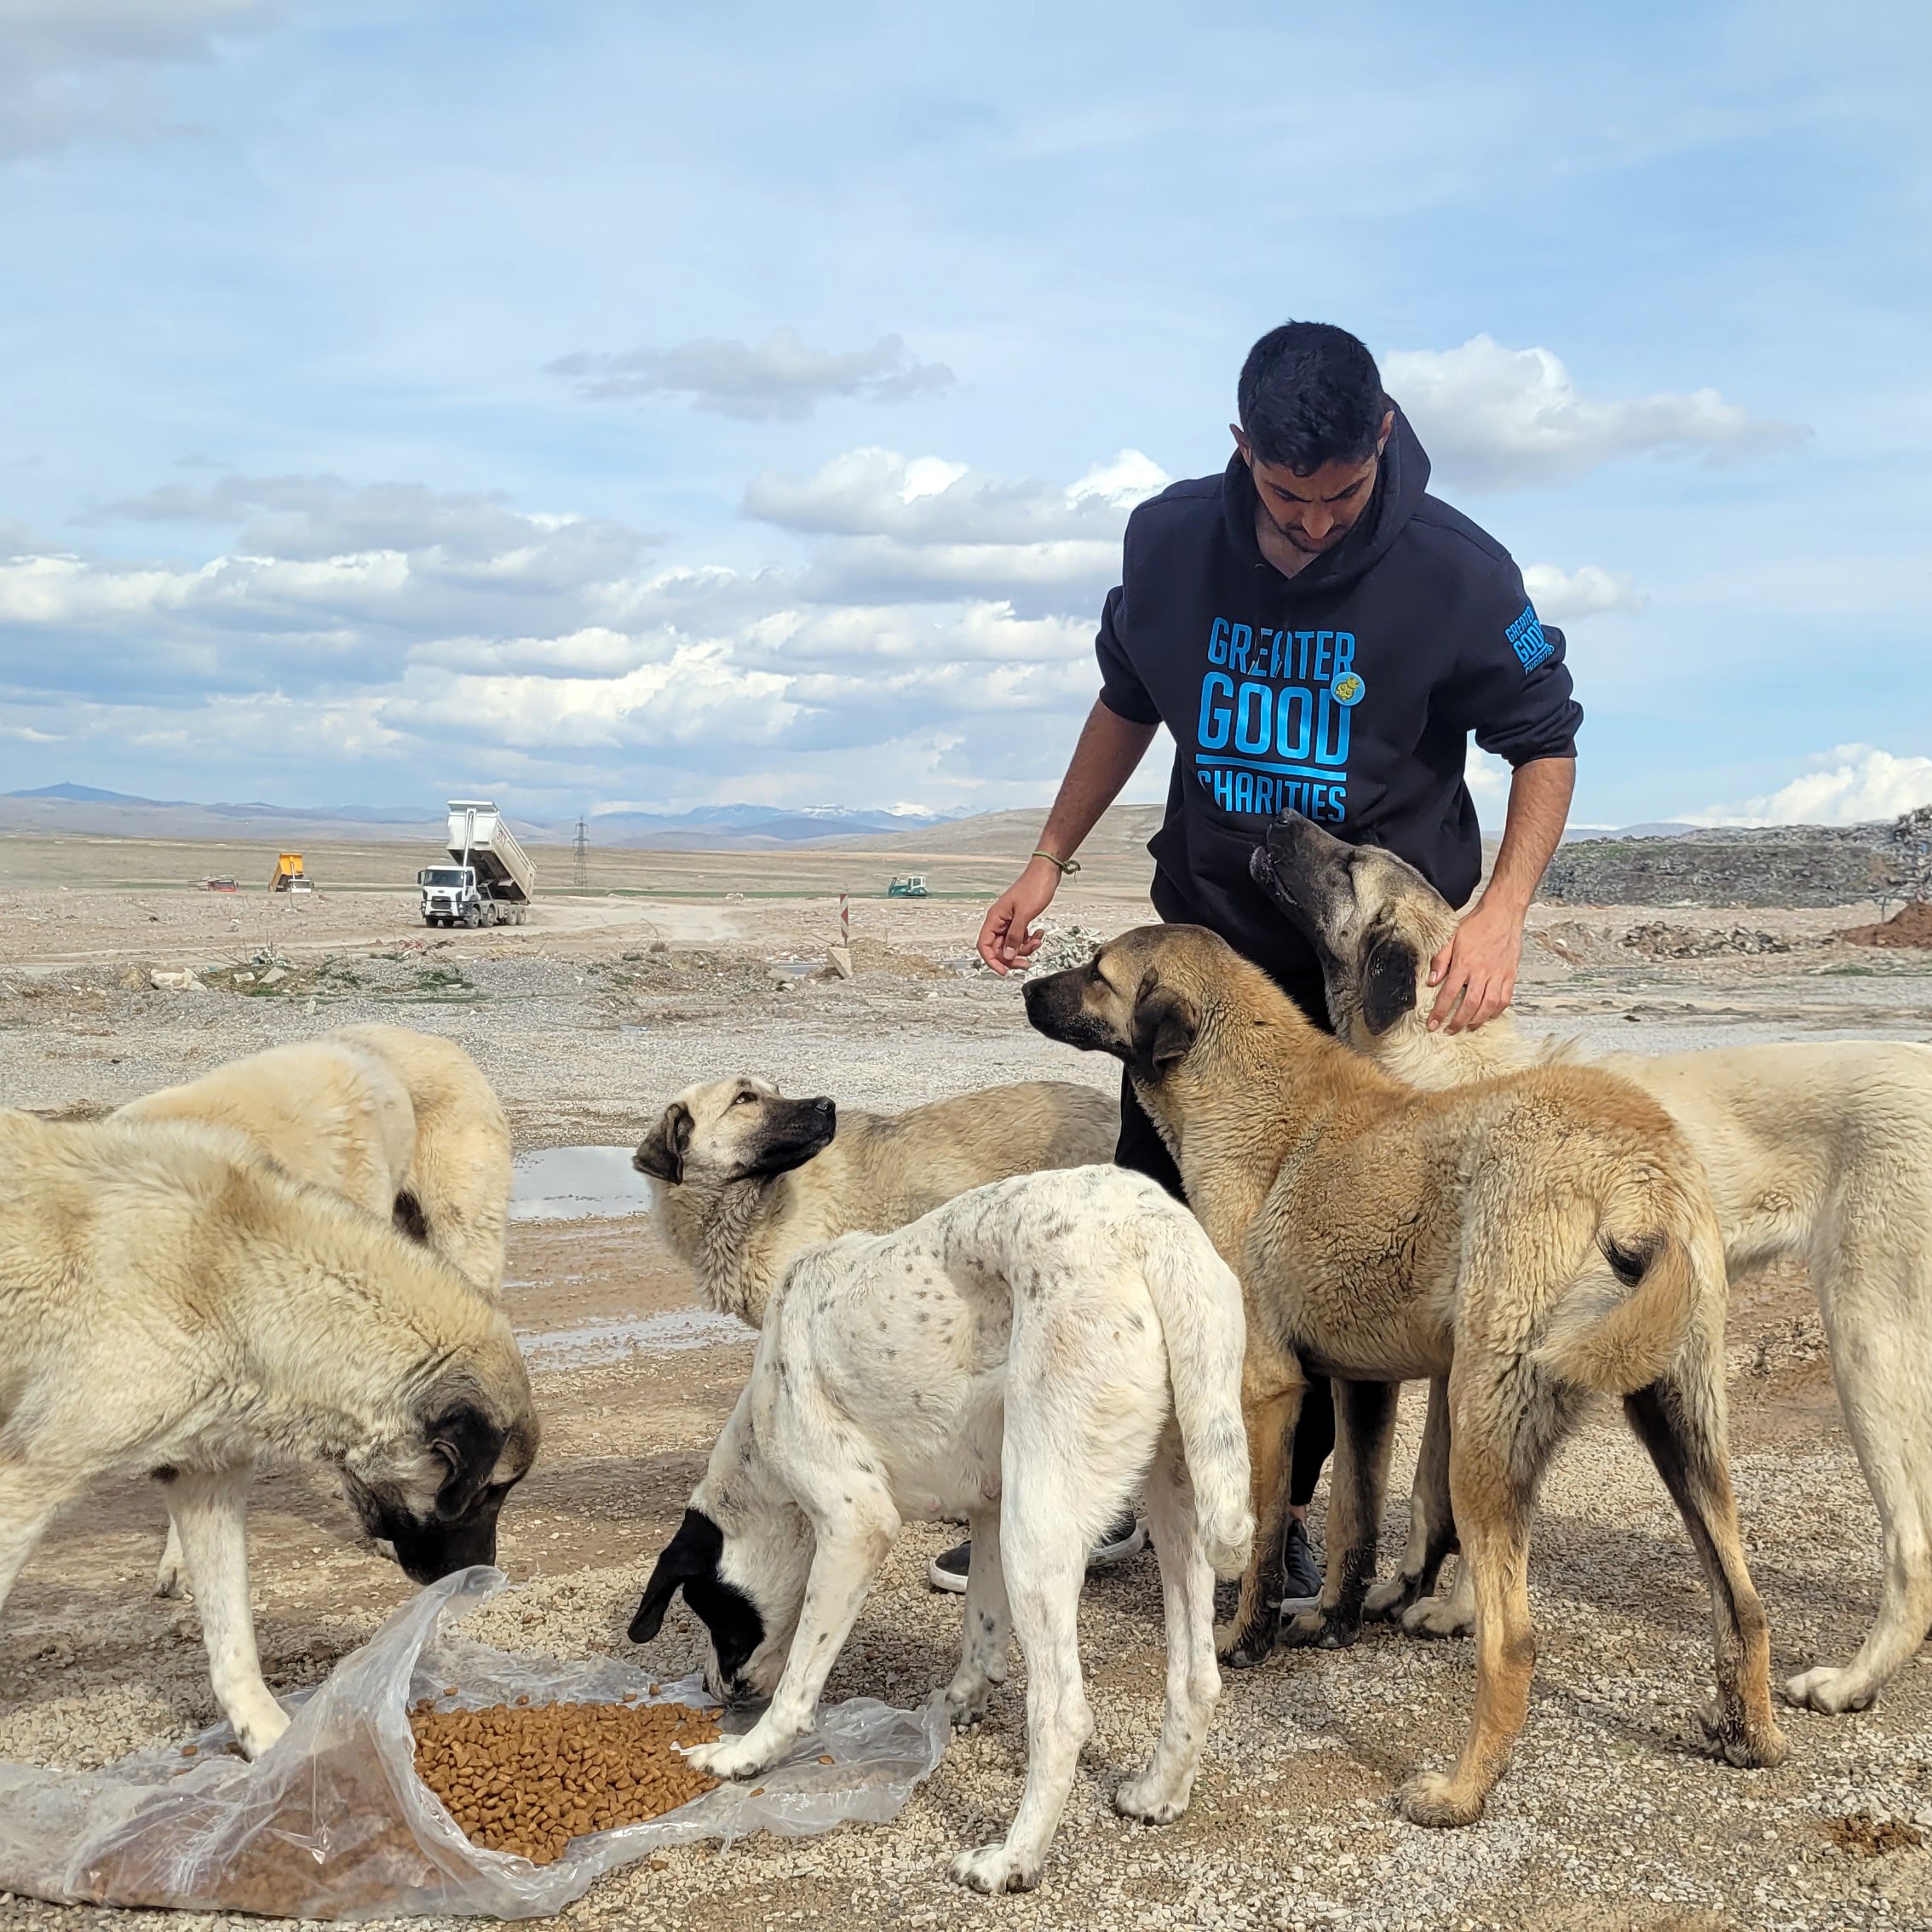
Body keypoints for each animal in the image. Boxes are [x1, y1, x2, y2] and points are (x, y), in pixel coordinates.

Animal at [0, 1109, 538, 1758]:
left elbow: (233, 1634)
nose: (484, 1571)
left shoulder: (204, 1481)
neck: (231, 1276)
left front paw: (272, 1742)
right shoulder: (28, 1482)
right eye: (489, 1490)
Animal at [627, 1166, 1252, 1892]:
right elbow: (979, 1628)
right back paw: (1157, 1794)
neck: (759, 1438)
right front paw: (959, 1702)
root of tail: (1152, 1226)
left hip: (1038, 1531)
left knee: (1063, 1715)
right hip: (1175, 1502)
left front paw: (745, 1755)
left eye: (717, 1619)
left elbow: (799, 1682)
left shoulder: (856, 1524)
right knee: (1196, 1677)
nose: (710, 1690)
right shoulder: (988, 1510)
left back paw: (1013, 1859)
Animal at [1024, 925, 1787, 1826]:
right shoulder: (1363, 1386)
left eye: (1096, 972)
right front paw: (1333, 1623)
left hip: (1486, 1435)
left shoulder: (1269, 1389)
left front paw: (1247, 1639)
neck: (1247, 1086)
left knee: (1513, 1642)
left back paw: (1460, 1793)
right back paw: (1750, 1736)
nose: (1025, 987)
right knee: (1742, 1601)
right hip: (1680, 1426)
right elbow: (1353, 1519)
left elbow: (1268, 1534)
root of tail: (1638, 1166)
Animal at [1254, 805, 1932, 1714]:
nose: (1275, 816)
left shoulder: (1503, 1351)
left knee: (1911, 1546)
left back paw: (1852, 1679)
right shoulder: (1457, 1353)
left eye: (1354, 861)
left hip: (1869, 1339)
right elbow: (1434, 1492)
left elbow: (1474, 1502)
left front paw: (1457, 1609)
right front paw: (1411, 1588)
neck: (1442, 1068)